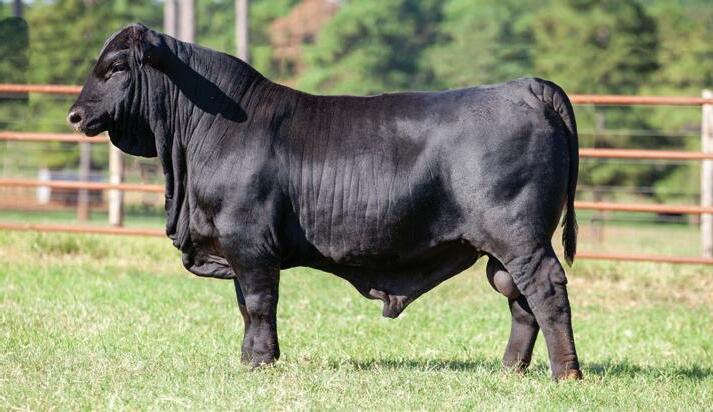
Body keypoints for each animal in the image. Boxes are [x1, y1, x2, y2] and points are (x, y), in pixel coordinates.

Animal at [68, 24, 582, 380]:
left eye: (116, 67)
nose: (74, 114)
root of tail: (525, 86)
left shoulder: (249, 240)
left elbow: (259, 302)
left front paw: (261, 361)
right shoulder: (237, 247)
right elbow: (244, 305)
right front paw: (249, 359)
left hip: (520, 237)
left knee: (545, 290)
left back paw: (567, 373)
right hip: (505, 248)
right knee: (518, 299)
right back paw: (510, 369)